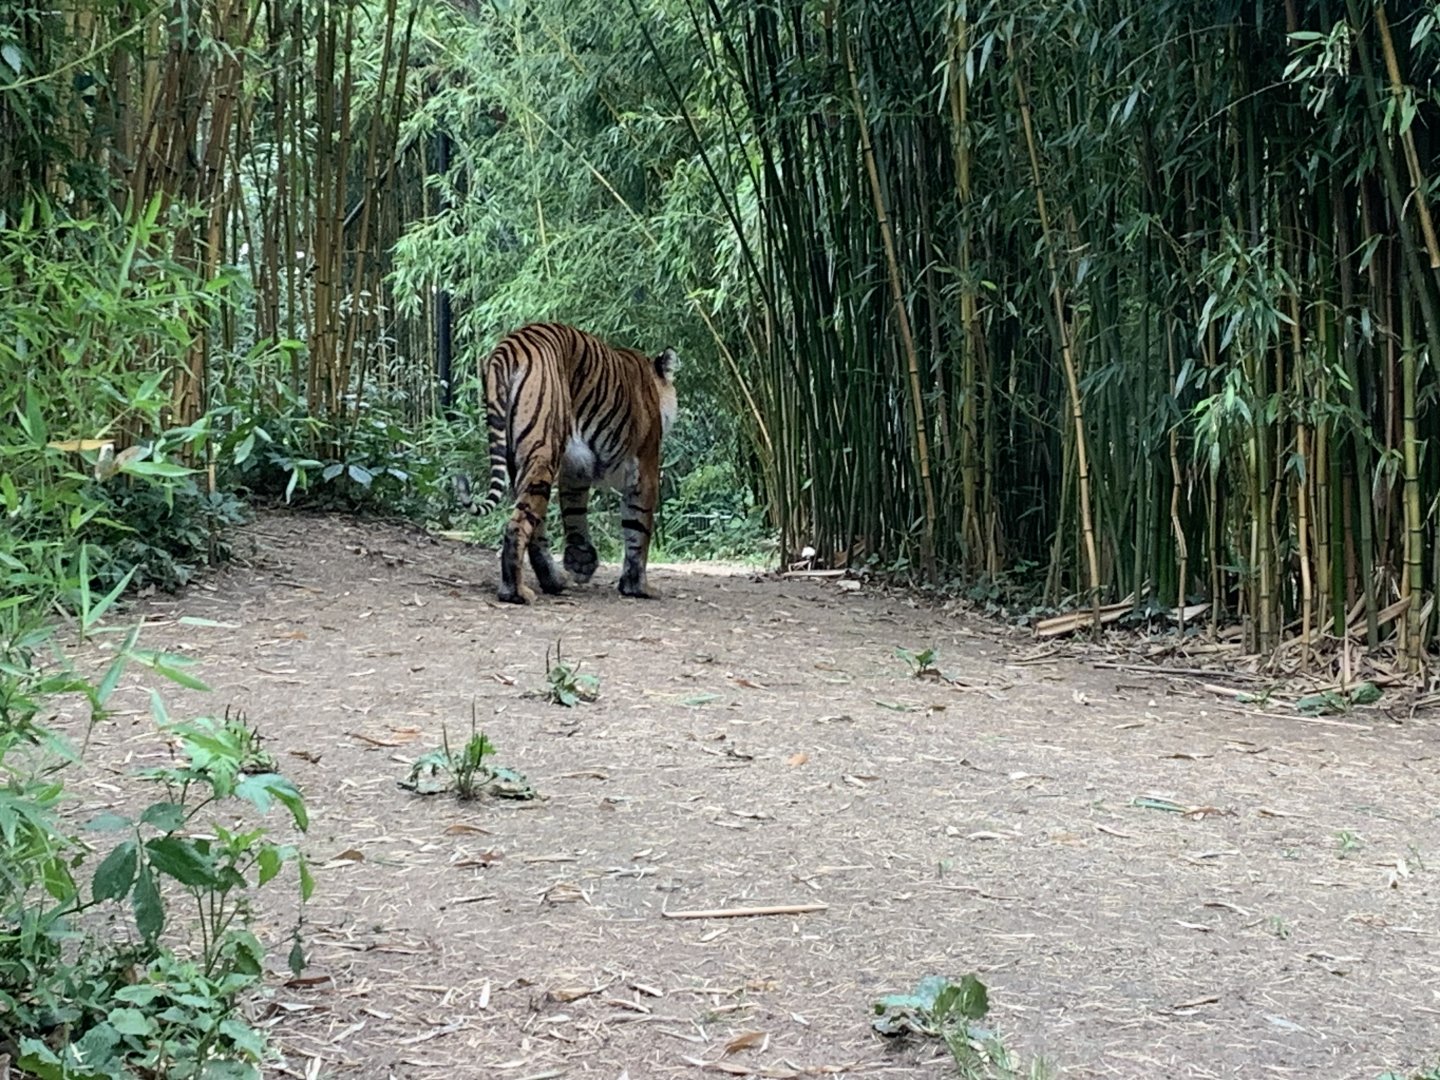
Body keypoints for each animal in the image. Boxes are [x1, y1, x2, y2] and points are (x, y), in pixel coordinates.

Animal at [455, 322, 679, 604]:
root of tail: (508, 346)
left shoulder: (576, 468)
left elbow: (574, 511)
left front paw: (581, 562)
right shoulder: (645, 466)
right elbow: (638, 528)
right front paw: (637, 586)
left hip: (521, 460)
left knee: (534, 524)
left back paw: (552, 581)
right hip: (544, 451)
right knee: (517, 526)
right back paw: (515, 592)